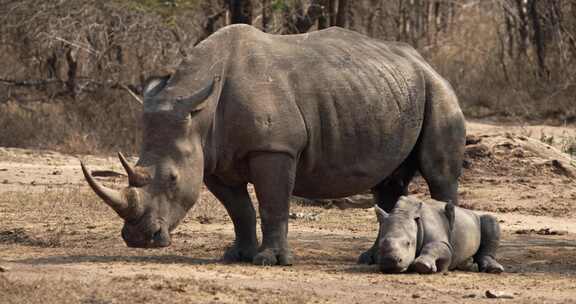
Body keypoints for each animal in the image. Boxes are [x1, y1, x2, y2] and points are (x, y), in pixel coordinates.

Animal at [374, 196, 504, 274]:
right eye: (380, 245)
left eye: (408, 243)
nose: (390, 261)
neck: (404, 212)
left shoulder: (443, 243)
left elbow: (434, 246)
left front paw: (423, 266)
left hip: (475, 218)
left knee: (490, 220)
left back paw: (495, 270)